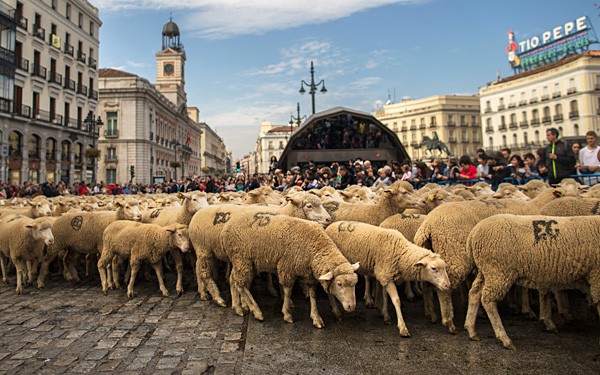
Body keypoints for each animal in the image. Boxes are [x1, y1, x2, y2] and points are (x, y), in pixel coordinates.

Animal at [221, 214, 358, 328]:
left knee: (233, 279)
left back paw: (237, 307)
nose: (352, 307)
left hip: (243, 261)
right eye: (339, 284)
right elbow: (288, 291)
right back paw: (256, 311)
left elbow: (313, 294)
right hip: (242, 258)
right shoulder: (287, 267)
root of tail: (227, 227)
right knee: (241, 284)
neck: (315, 246)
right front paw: (287, 314)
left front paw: (316, 317)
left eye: (355, 284)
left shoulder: (309, 275)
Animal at [464, 216, 600, 352]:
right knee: (488, 300)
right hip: (498, 270)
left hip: (486, 270)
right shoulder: (596, 276)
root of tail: (473, 232)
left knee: (475, 293)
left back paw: (471, 330)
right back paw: (504, 338)